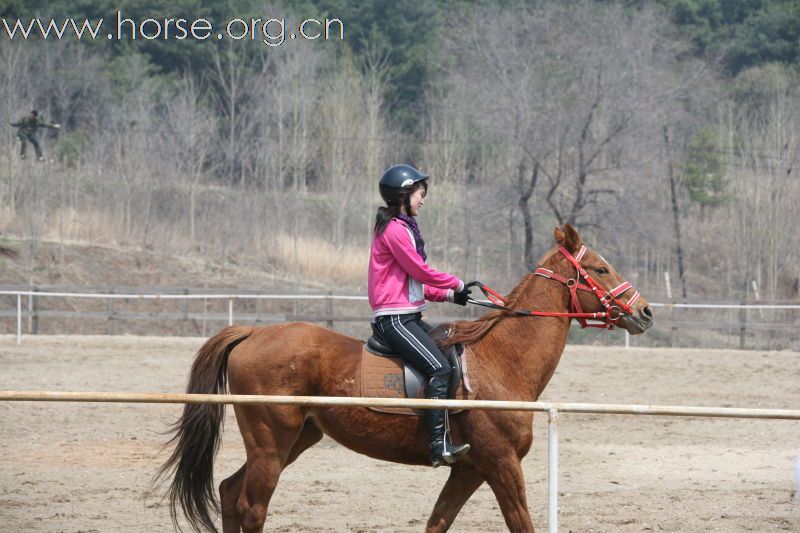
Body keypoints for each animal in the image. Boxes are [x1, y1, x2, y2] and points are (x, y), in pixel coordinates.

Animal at [155, 222, 648, 528]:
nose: (644, 311)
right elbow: (520, 524)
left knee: (228, 491)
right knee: (251, 507)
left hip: (295, 440)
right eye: (600, 269)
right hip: (271, 443)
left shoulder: (469, 470)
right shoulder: (502, 464)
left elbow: (437, 523)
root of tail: (254, 332)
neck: (502, 360)